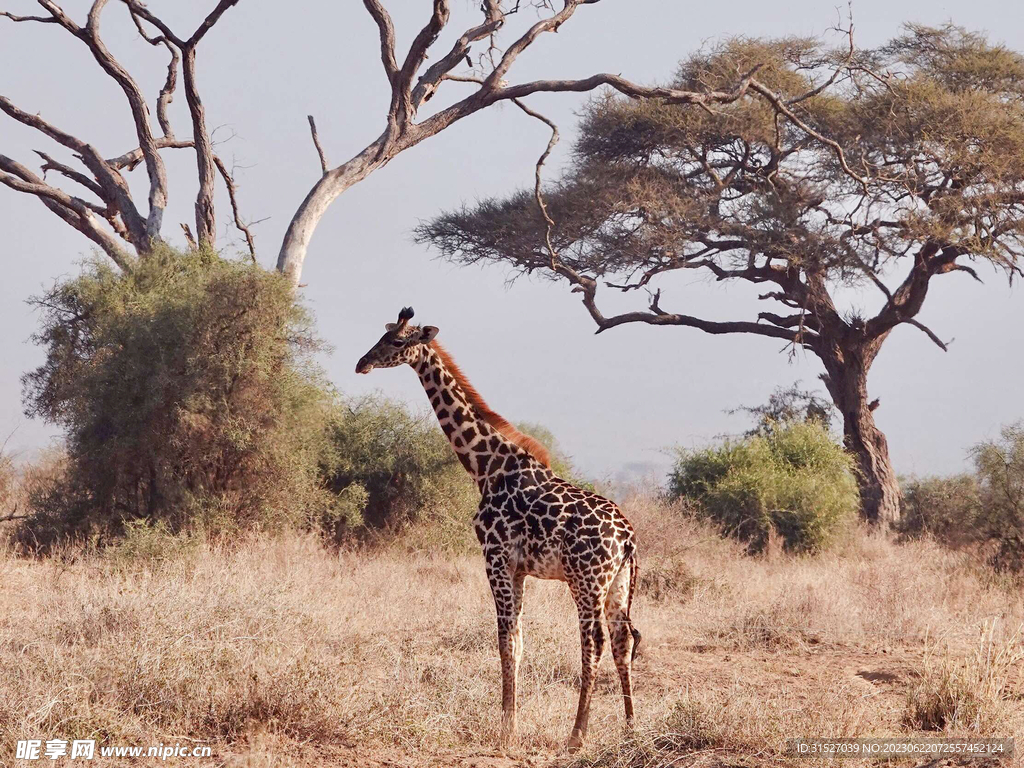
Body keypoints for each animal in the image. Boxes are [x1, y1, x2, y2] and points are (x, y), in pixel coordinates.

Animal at [354, 307, 638, 753]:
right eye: (381, 337)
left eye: (397, 342)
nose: (361, 363)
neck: (486, 468)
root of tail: (627, 538)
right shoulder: (518, 569)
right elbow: (518, 644)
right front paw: (511, 723)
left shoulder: (496, 558)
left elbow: (505, 641)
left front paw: (506, 730)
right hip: (618, 585)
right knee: (624, 640)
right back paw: (630, 728)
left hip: (586, 581)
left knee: (593, 641)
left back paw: (576, 736)